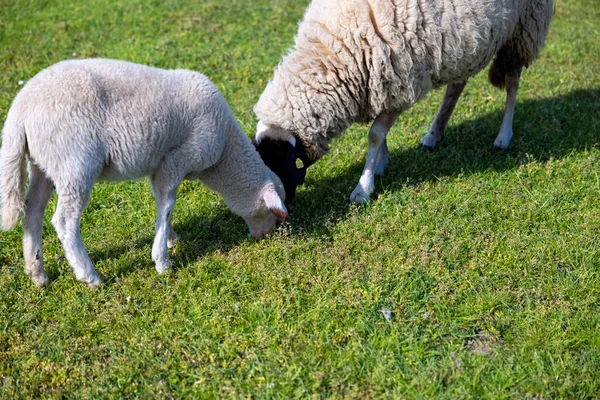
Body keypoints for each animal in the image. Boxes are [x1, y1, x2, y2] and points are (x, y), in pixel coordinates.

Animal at [0, 57, 288, 286]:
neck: (224, 153)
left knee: (32, 212)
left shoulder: (160, 166)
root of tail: (20, 111)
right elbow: (168, 205)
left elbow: (162, 203)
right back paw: (89, 275)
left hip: (44, 164)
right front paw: (162, 261)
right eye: (272, 212)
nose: (265, 237)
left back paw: (37, 273)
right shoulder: (177, 159)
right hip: (75, 162)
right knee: (64, 220)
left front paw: (170, 239)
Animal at [253, 0, 552, 203]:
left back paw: (503, 137)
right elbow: (378, 132)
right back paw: (434, 134)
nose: (286, 206)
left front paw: (363, 187)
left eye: (279, 162)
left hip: (523, 29)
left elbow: (374, 134)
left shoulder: (396, 83)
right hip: (466, 45)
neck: (332, 51)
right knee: (457, 85)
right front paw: (381, 164)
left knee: (512, 84)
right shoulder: (380, 86)